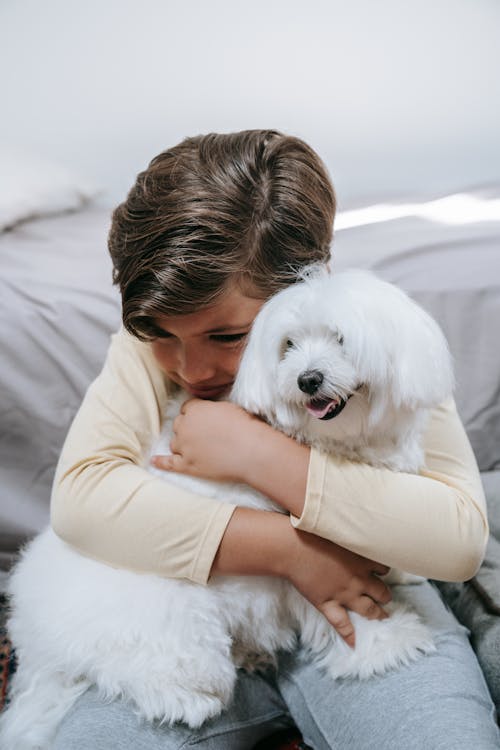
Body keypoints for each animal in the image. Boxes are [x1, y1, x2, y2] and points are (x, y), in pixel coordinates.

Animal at [0, 268, 454, 748]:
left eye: (340, 338)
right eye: (288, 345)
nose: (307, 379)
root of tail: (33, 641)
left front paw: (401, 578)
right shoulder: (320, 565)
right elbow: (347, 609)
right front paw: (385, 643)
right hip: (161, 602)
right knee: (139, 658)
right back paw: (189, 694)